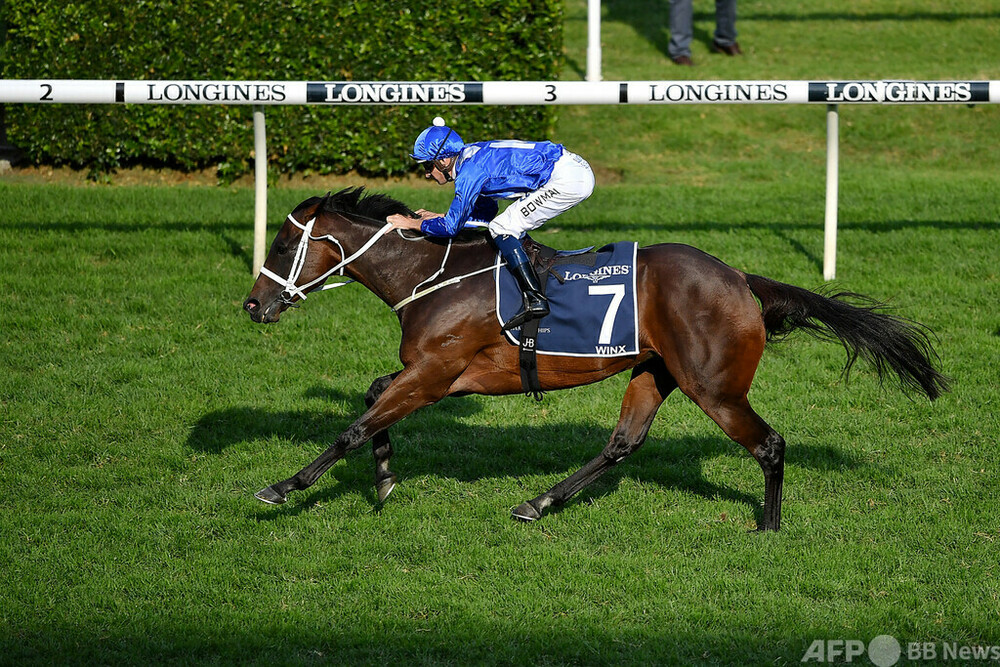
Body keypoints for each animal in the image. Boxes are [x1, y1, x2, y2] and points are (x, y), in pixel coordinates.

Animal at [242, 187, 948, 531]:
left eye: (281, 245)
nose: (252, 305)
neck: (432, 276)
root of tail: (740, 278)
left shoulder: (439, 373)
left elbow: (356, 425)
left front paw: (283, 488)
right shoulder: (440, 376)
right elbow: (371, 399)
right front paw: (386, 477)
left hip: (714, 386)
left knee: (769, 443)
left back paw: (769, 529)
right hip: (654, 371)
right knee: (622, 443)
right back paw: (539, 502)